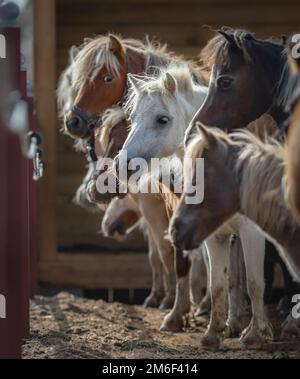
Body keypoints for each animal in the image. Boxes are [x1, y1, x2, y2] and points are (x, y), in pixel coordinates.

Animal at [170, 125, 300, 342]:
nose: (175, 230)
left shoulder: (251, 233)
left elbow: (253, 282)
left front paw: (255, 332)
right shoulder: (217, 237)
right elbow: (220, 284)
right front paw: (216, 331)